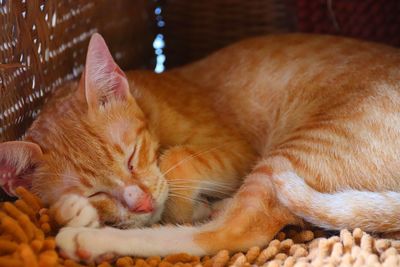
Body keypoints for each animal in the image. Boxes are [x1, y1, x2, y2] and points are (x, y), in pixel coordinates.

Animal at [0, 33, 400, 262]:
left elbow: (176, 162)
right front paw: (81, 209)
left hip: (295, 151)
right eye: (96, 191)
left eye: (131, 158)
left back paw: (90, 240)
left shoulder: (239, 151)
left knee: (232, 232)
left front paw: (180, 206)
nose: (142, 203)